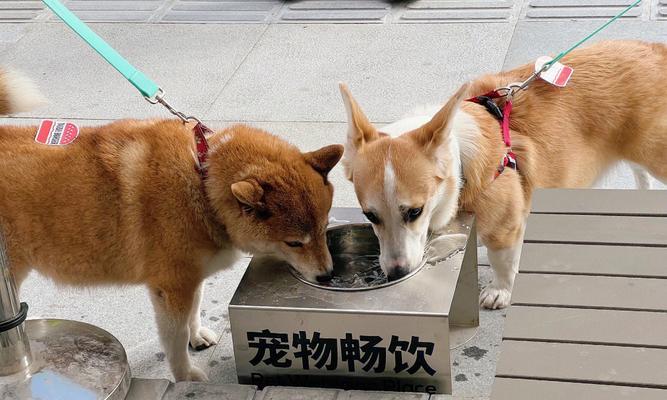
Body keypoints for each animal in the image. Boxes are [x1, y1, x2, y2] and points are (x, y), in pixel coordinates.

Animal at [0, 69, 344, 382]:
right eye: (294, 243)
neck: (202, 179)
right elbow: (174, 340)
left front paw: (196, 337)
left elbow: (194, 309)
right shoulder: (171, 286)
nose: (327, 276)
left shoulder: (192, 276)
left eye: (324, 229)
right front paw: (185, 376)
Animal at [340, 40, 667, 310]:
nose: (398, 273)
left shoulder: (505, 230)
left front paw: (500, 291)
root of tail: (655, 47)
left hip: (656, 155)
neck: (460, 165)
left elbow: (503, 263)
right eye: (370, 216)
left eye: (414, 211)